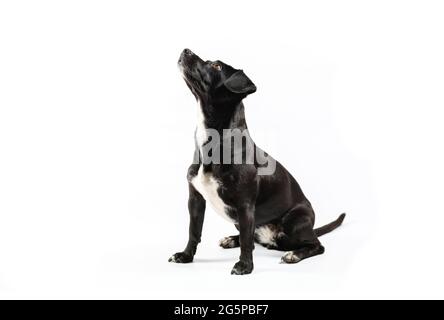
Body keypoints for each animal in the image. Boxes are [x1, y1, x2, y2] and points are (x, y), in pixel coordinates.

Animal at [168, 48, 346, 276]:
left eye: (217, 66)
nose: (186, 50)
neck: (213, 142)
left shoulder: (245, 205)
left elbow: (246, 241)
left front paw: (244, 266)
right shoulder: (195, 200)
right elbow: (194, 231)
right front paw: (186, 256)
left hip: (295, 220)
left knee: (316, 245)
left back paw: (294, 255)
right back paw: (232, 239)